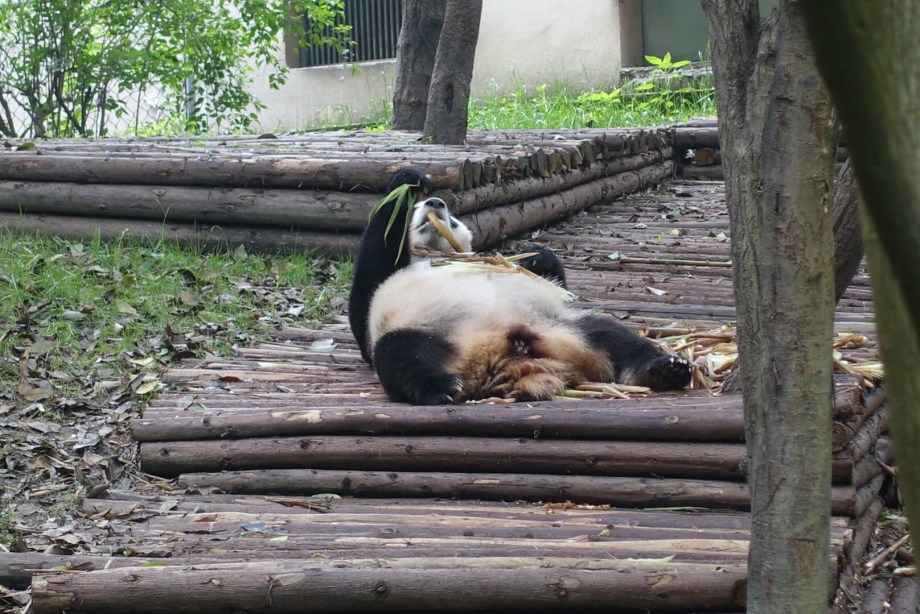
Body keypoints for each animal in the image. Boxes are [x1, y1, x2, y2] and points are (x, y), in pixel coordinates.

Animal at [348, 169, 693, 405]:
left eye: (455, 221)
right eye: (419, 212)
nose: (434, 202)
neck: (437, 255)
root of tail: (504, 358)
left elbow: (549, 279)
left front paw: (537, 256)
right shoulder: (381, 294)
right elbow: (371, 275)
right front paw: (406, 184)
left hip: (559, 327)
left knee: (612, 335)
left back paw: (664, 370)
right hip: (428, 331)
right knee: (400, 354)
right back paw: (440, 388)